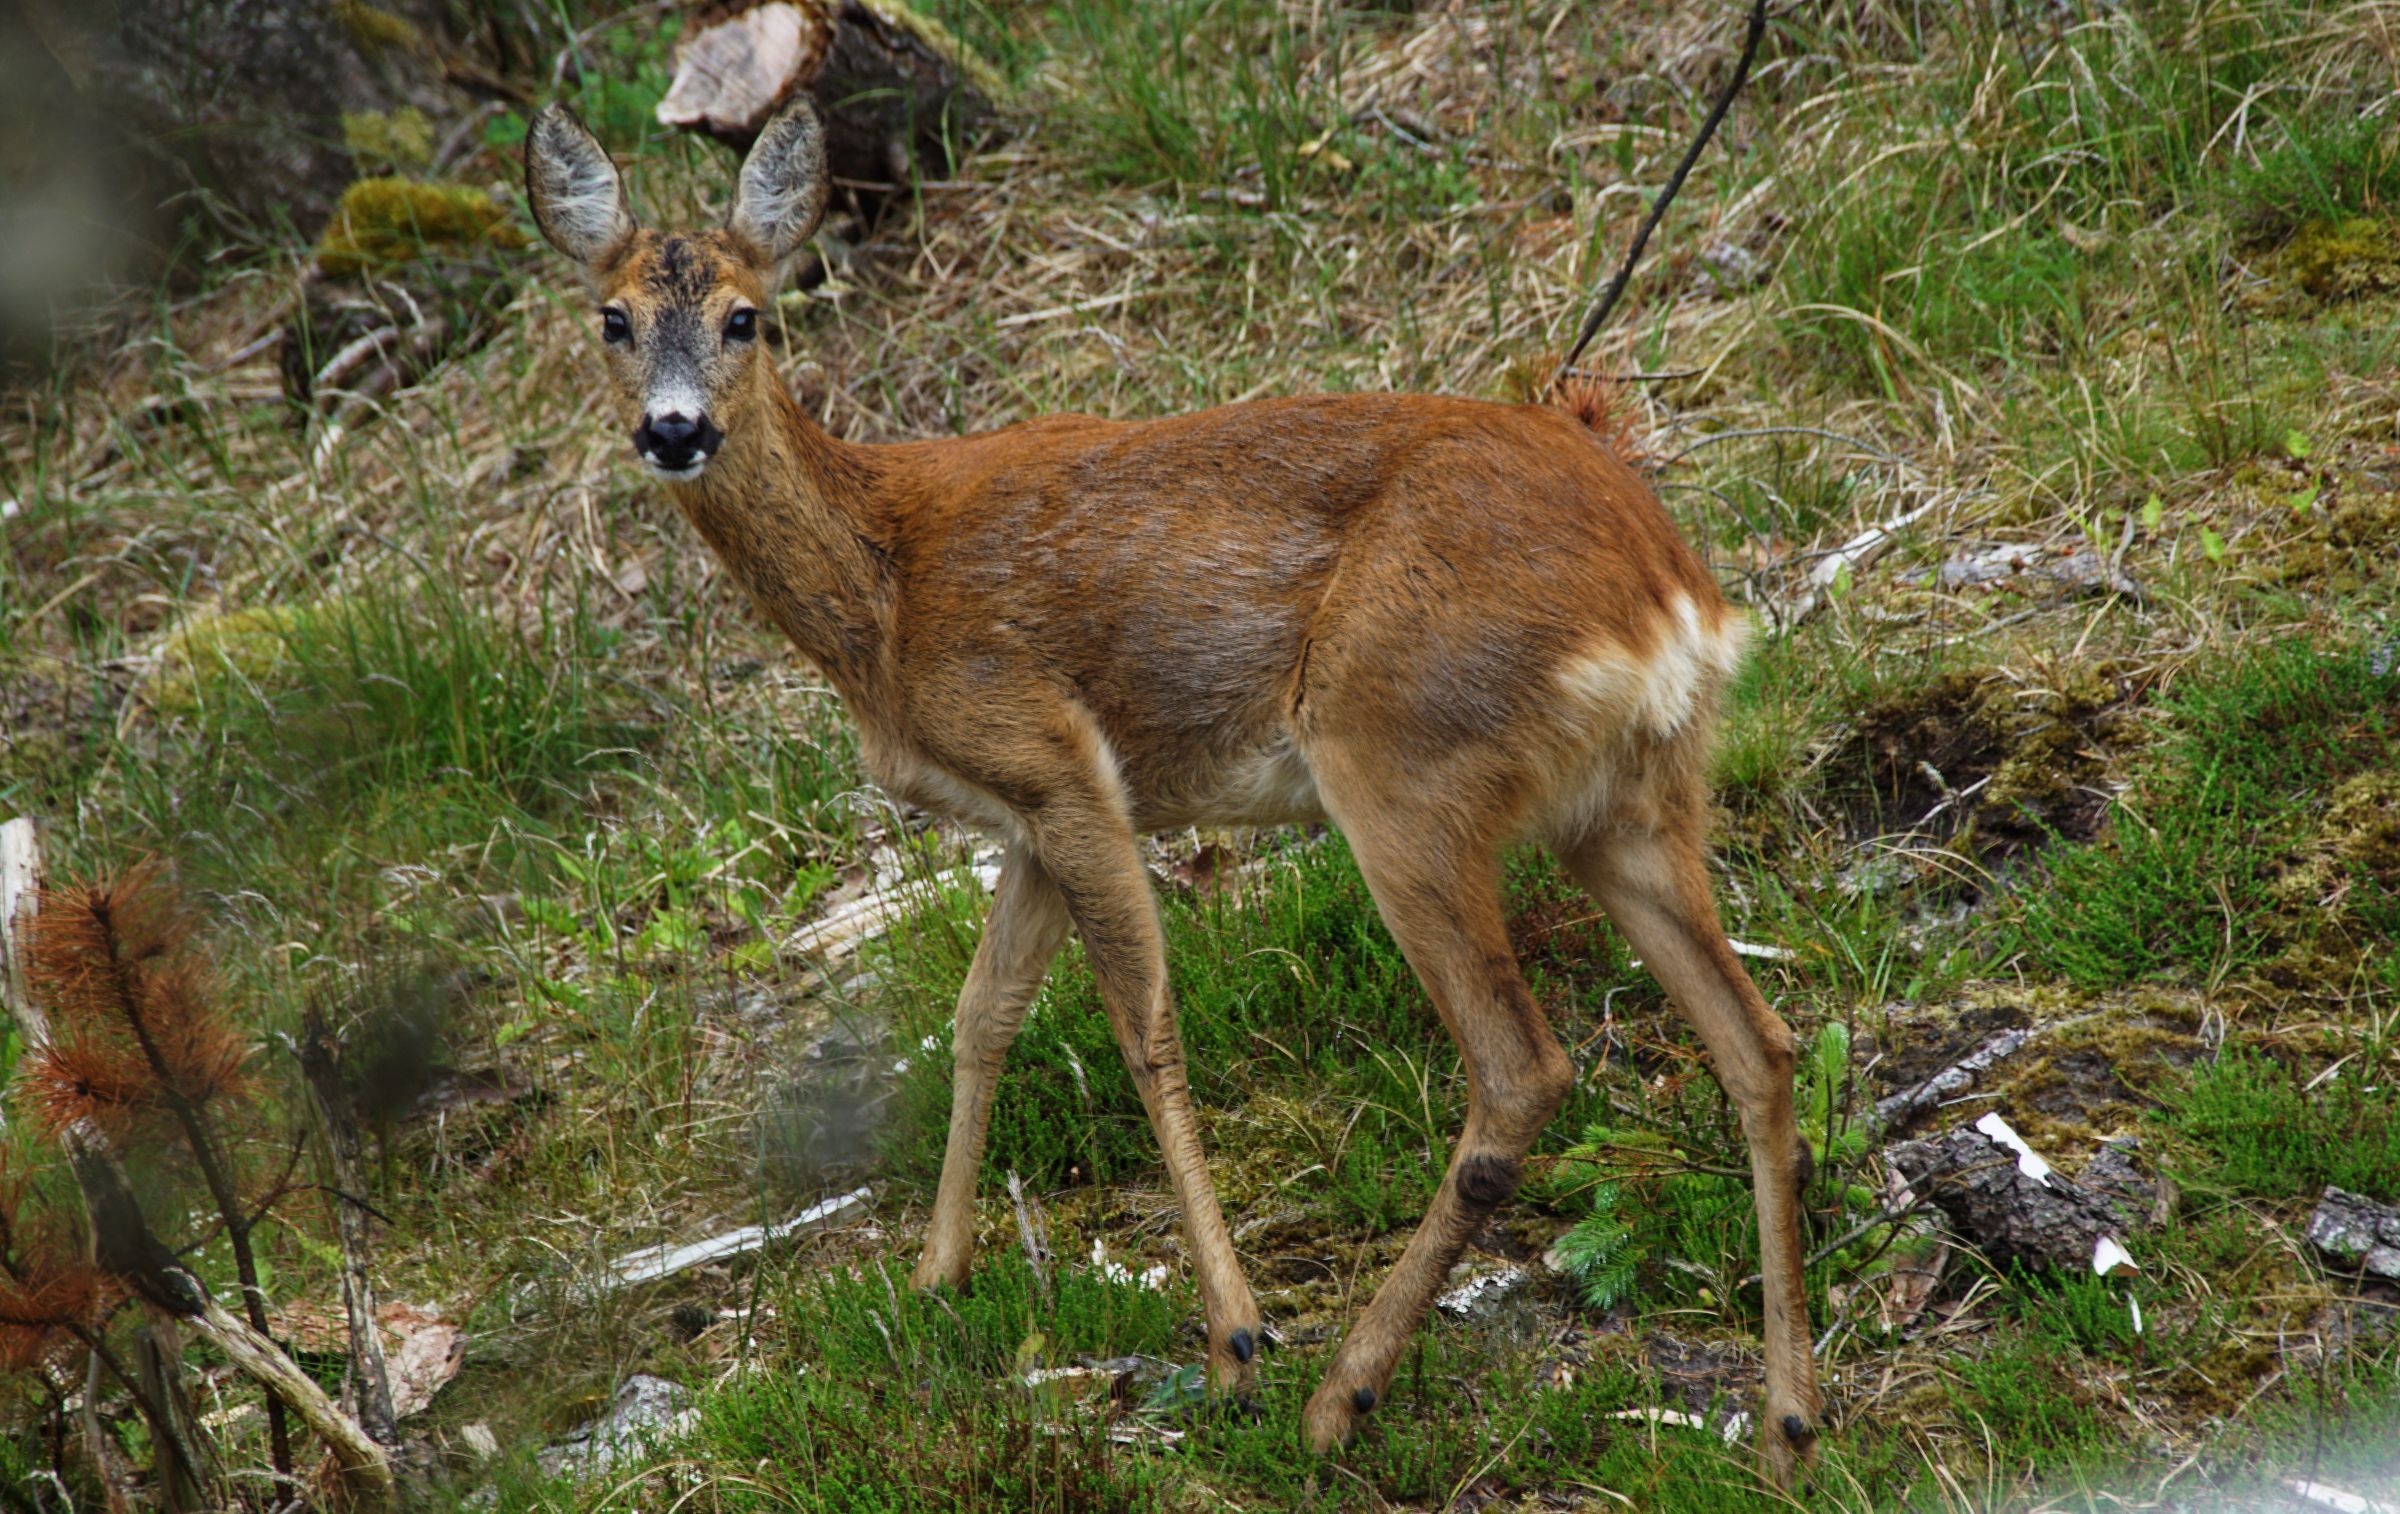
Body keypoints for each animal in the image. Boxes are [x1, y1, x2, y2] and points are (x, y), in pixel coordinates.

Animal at [525, 97, 1823, 1483]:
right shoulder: (1032, 816)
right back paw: (1788, 1425)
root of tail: (1674, 595)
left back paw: (1338, 1395)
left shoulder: (1058, 759)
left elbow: (1140, 1022)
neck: (886, 591)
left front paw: (1236, 1340)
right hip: (1629, 801)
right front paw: (935, 1277)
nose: (674, 430)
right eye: (611, 318)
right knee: (1759, 1042)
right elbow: (983, 1014)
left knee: (1523, 1066)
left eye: (745, 317)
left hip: (1401, 759)